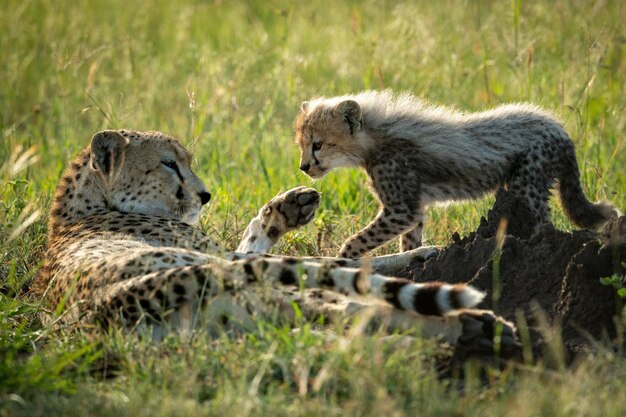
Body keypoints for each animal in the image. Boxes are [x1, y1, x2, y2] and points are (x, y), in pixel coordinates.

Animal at [30, 130, 516, 352]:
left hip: (237, 311)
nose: (205, 195)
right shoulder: (218, 255)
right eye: (168, 164)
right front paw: (418, 251)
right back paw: (475, 323)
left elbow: (259, 239)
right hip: (244, 285)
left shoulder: (230, 258)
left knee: (331, 318)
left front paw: (287, 207)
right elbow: (338, 261)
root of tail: (102, 305)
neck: (88, 206)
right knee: (351, 303)